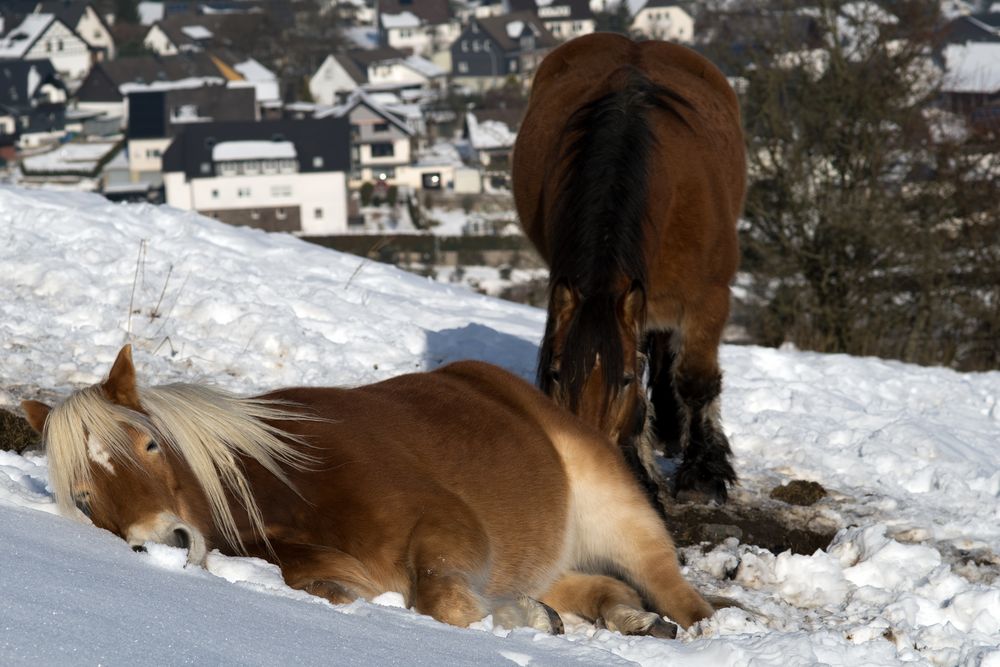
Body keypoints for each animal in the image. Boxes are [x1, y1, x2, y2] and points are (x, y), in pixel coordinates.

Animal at [21, 350, 712, 636]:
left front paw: (512, 621)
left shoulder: (441, 532)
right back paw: (623, 619)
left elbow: (440, 601)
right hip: (545, 558)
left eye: (150, 446)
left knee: (672, 589)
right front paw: (529, 618)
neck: (282, 487)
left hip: (618, 513)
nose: (166, 542)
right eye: (84, 495)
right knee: (598, 589)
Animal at [516, 34, 744, 504]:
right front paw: (640, 475)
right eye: (556, 373)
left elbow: (695, 381)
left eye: (620, 381)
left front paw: (703, 473)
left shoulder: (707, 301)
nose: (589, 462)